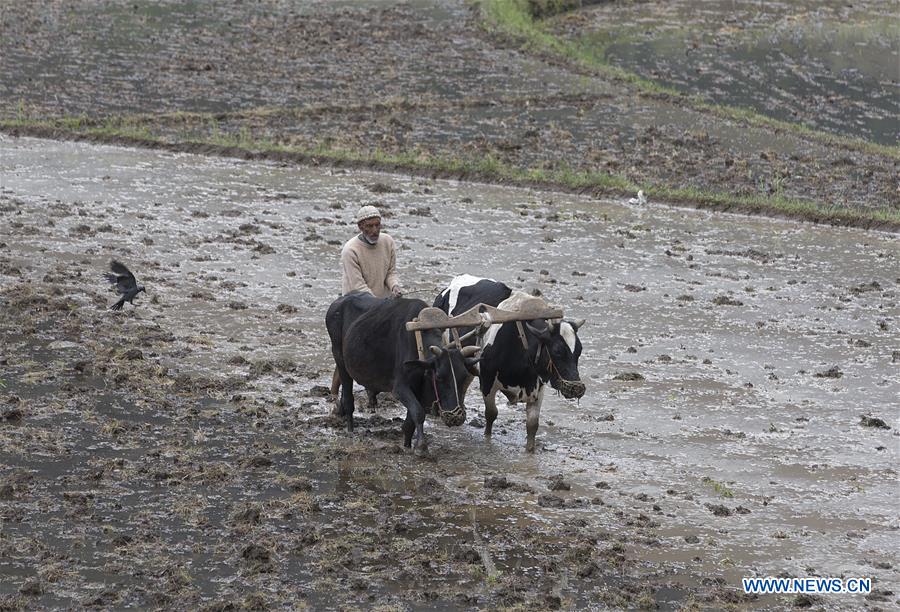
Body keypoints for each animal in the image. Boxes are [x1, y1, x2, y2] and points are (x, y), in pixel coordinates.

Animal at [326, 292, 482, 454]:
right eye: (439, 377)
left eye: (464, 377)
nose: (455, 418)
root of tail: (339, 301)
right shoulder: (400, 388)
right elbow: (418, 413)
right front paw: (421, 446)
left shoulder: (418, 390)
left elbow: (410, 422)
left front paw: (407, 444)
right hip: (340, 361)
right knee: (348, 397)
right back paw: (350, 429)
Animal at [434, 274, 588, 452]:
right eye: (557, 351)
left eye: (579, 350)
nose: (577, 388)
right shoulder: (487, 382)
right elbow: (491, 414)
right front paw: (487, 438)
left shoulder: (538, 387)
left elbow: (532, 424)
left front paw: (530, 450)